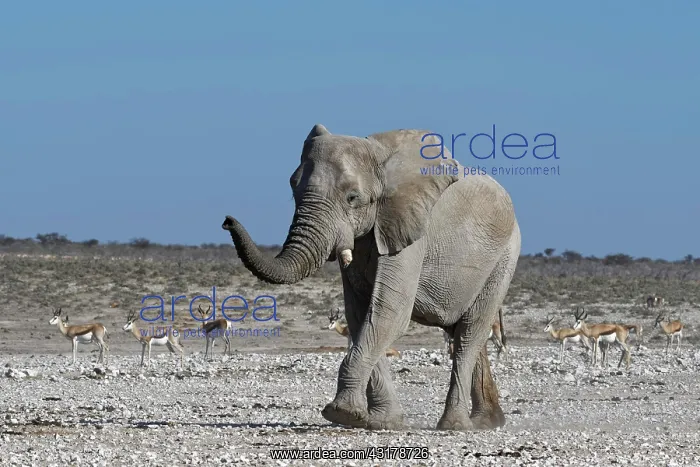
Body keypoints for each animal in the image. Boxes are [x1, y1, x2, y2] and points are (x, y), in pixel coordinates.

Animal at [221, 124, 521, 431]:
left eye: (353, 198)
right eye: (294, 190)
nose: (226, 221)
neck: (380, 156)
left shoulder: (410, 229)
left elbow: (388, 312)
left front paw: (342, 414)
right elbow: (359, 314)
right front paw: (382, 422)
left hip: (505, 256)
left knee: (469, 334)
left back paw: (456, 426)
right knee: (465, 332)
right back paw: (488, 421)